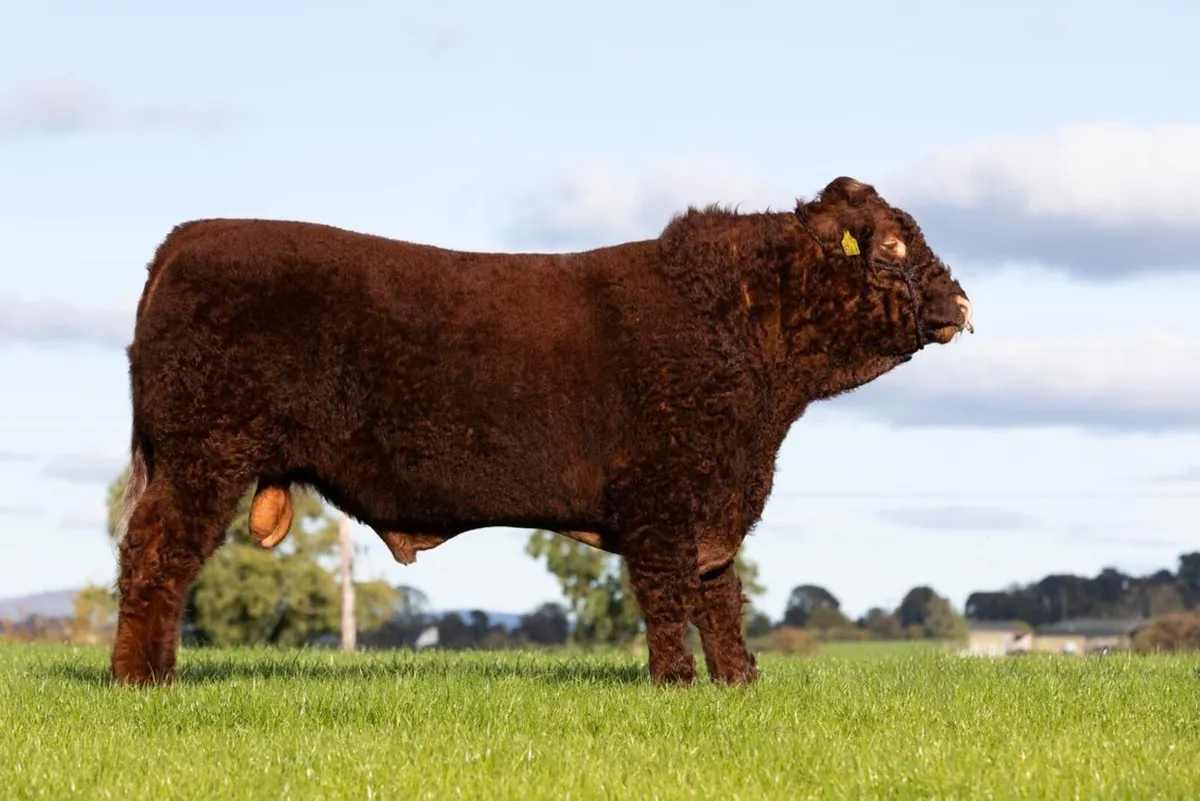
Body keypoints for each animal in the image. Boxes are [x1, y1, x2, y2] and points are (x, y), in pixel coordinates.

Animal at [111, 176, 973, 687]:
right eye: (892, 246)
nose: (961, 303)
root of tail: (188, 237)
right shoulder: (663, 499)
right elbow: (670, 596)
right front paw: (676, 684)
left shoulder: (715, 501)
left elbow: (722, 595)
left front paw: (739, 684)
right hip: (202, 457)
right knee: (154, 559)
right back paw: (142, 679)